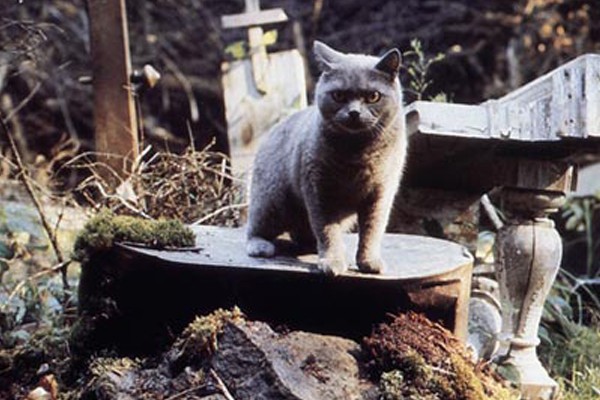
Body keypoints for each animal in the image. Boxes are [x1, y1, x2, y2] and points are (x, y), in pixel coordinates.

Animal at [245, 41, 408, 276]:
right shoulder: (319, 190)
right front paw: (332, 261)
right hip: (272, 199)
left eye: (373, 97)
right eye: (338, 95)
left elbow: (372, 231)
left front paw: (369, 261)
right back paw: (261, 246)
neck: (357, 154)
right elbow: (327, 230)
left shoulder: (381, 193)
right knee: (255, 227)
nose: (354, 113)